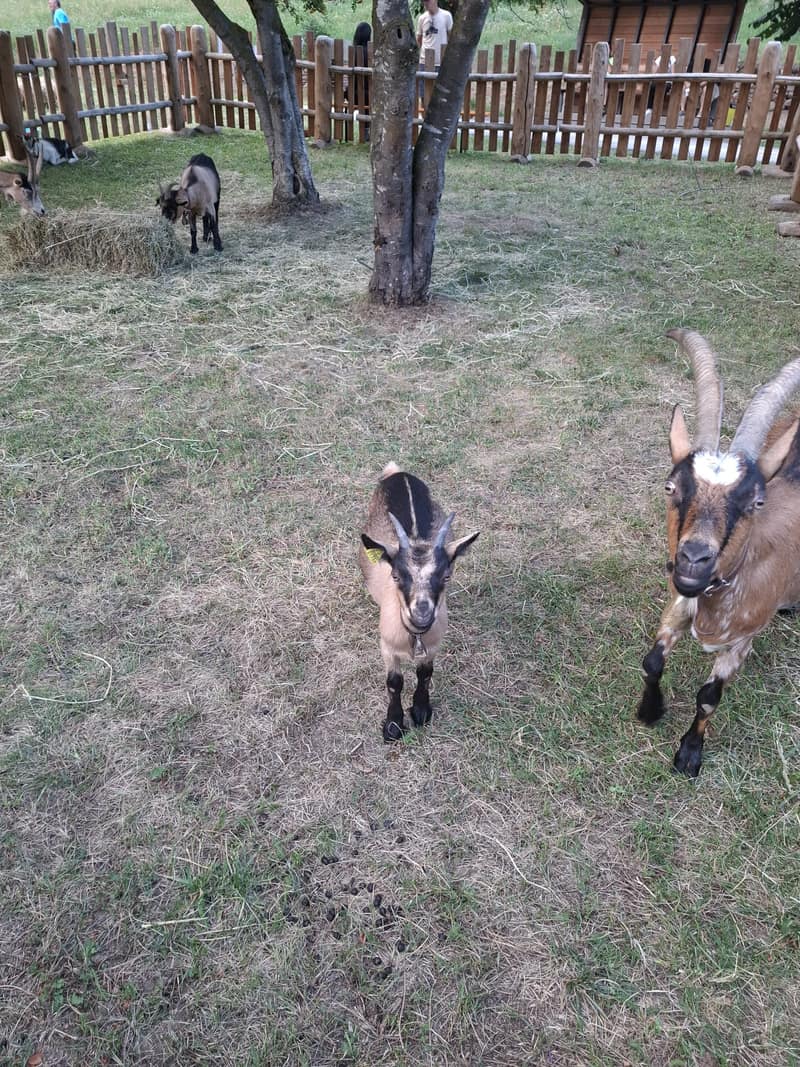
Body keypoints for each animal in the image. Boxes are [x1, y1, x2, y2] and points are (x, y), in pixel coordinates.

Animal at [360, 463, 479, 742]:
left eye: (446, 576)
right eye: (396, 576)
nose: (422, 612)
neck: (414, 635)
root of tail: (398, 473)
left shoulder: (433, 644)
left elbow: (425, 674)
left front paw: (421, 711)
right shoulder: (386, 646)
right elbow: (394, 682)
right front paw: (393, 725)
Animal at [637, 328, 800, 777]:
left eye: (756, 502)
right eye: (670, 487)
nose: (694, 558)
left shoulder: (742, 641)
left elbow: (709, 697)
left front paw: (689, 755)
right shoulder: (678, 604)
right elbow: (652, 663)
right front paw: (649, 711)